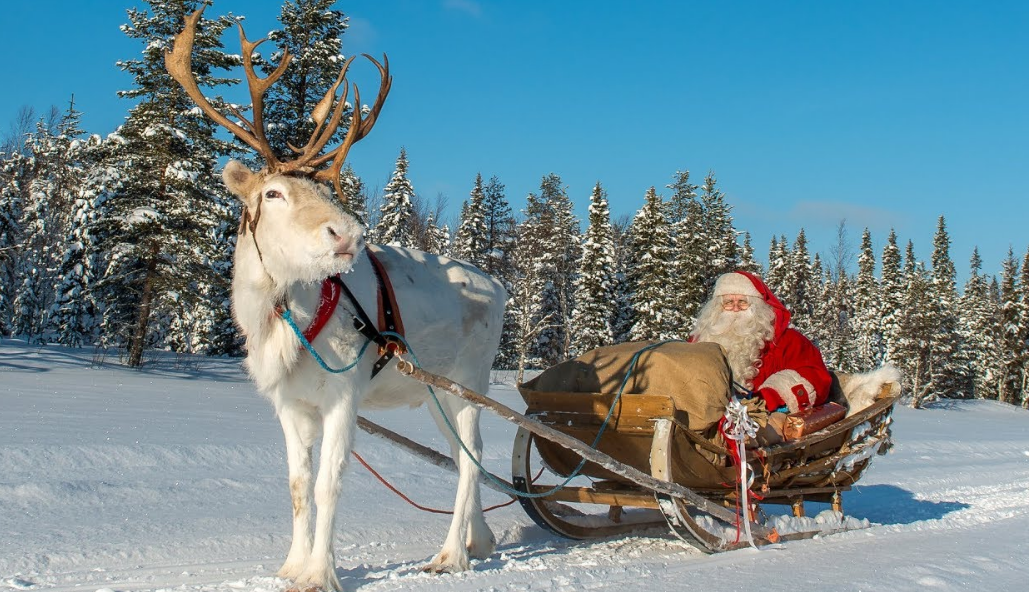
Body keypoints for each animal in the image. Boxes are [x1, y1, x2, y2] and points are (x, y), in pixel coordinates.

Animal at [166, 8, 506, 591]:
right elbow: (298, 485)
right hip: (437, 394)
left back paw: (450, 555)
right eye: (273, 192)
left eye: (328, 190)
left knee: (470, 458)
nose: (349, 233)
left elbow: (330, 484)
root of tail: (501, 287)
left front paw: (321, 573)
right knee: (465, 456)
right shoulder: (290, 404)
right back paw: (478, 541)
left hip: (469, 383)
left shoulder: (344, 396)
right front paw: (290, 566)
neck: (279, 321)